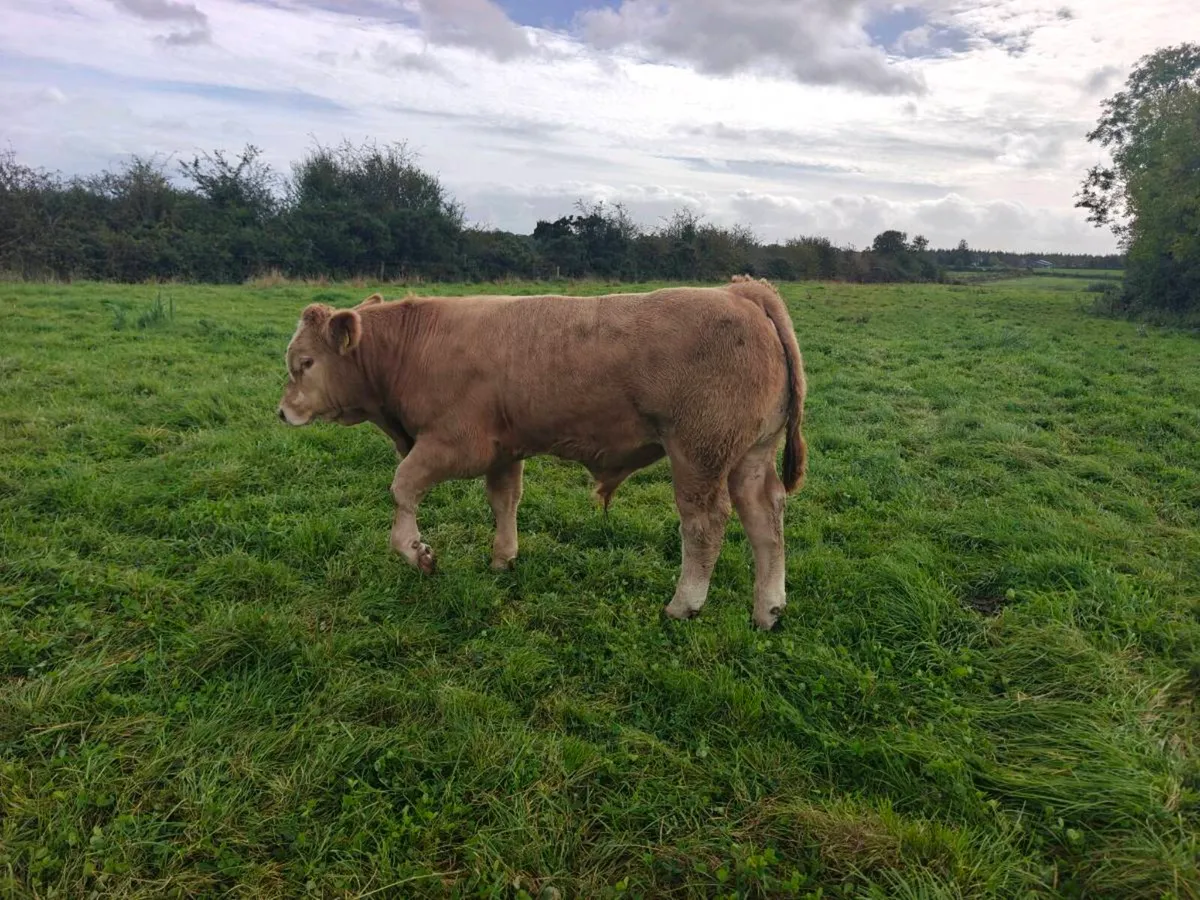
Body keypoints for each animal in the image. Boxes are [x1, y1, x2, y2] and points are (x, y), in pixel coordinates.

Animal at [276, 275, 808, 630]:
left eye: (305, 362)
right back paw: (768, 609)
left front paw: (417, 552)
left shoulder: (454, 443)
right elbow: (504, 501)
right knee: (766, 519)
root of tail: (740, 292)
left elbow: (403, 486)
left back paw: (684, 604)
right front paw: (503, 558)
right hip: (750, 456)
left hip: (699, 453)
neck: (414, 347)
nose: (282, 412)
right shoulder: (503, 449)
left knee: (704, 525)